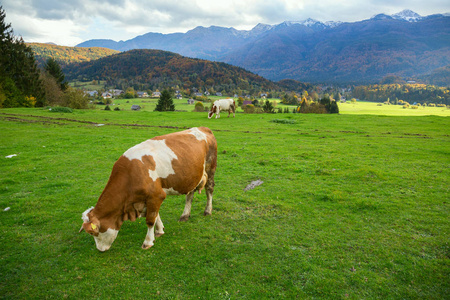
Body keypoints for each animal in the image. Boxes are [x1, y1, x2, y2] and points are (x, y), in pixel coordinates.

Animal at [80, 126, 218, 251]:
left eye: (92, 233)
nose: (99, 249)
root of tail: (203, 128)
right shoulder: (150, 197)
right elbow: (156, 215)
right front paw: (159, 230)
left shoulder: (156, 195)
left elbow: (150, 219)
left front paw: (148, 242)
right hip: (193, 175)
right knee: (190, 194)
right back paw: (185, 215)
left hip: (210, 168)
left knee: (209, 190)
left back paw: (208, 210)